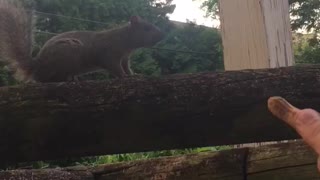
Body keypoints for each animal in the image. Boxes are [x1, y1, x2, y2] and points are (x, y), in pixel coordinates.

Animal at [0, 0, 165, 82]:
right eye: (147, 28)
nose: (162, 35)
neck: (124, 40)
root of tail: (37, 67)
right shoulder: (109, 53)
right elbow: (114, 67)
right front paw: (124, 77)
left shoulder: (125, 58)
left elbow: (125, 67)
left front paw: (133, 75)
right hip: (68, 53)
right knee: (51, 79)